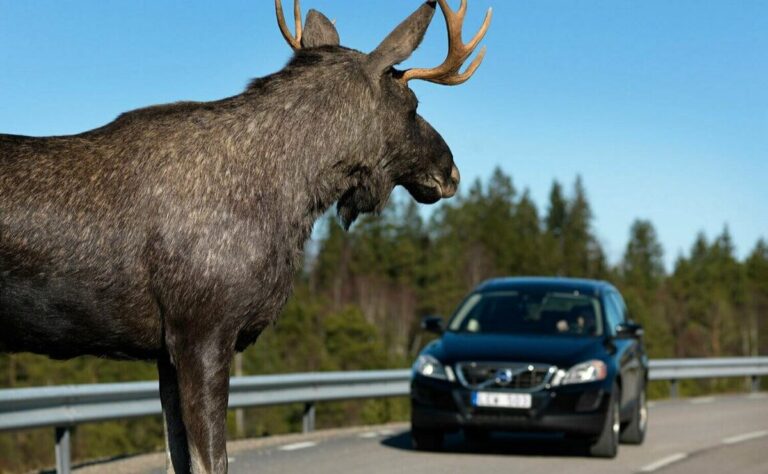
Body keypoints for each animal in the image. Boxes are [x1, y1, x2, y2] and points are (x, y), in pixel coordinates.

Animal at [0, 1, 491, 472]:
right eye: (413, 105)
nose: (451, 171)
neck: (291, 198)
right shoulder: (202, 332)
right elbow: (211, 461)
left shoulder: (165, 350)